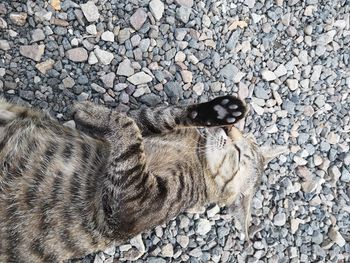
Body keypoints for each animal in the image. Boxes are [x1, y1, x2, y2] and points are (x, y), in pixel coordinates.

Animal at [0, 96, 284, 262]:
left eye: (239, 153)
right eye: (240, 134)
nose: (228, 129)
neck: (196, 152)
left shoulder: (132, 203)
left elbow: (129, 126)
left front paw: (93, 112)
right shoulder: (137, 133)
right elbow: (156, 117)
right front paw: (218, 110)